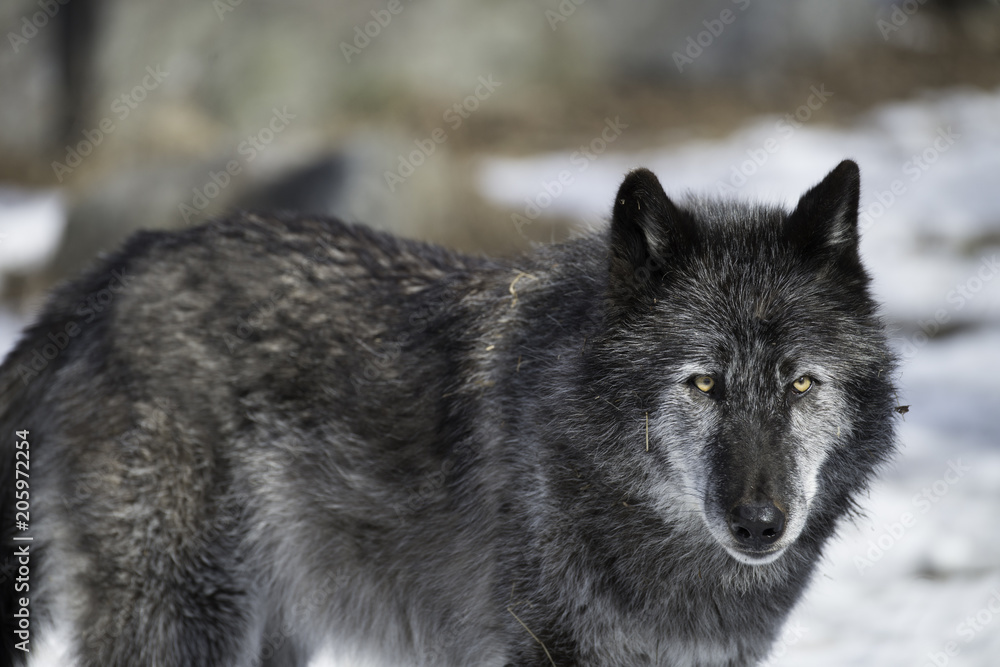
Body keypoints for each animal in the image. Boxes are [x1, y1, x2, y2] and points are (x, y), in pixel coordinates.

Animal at [0, 159, 900, 664]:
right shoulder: (548, 649)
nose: (761, 521)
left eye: (801, 384)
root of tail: (111, 272)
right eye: (705, 382)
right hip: (185, 619)